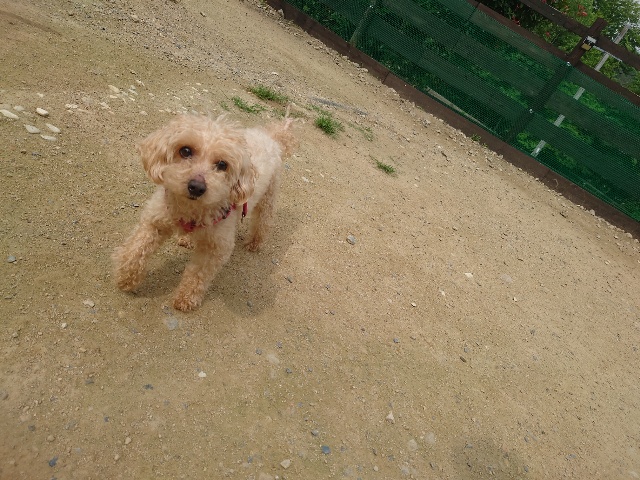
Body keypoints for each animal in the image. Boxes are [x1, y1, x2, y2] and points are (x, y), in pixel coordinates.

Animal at [112, 113, 294, 311]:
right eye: (185, 151)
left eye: (222, 164)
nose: (197, 187)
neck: (190, 209)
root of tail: (271, 137)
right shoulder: (155, 221)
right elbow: (136, 250)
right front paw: (125, 277)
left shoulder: (216, 248)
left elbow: (198, 274)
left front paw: (185, 298)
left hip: (268, 196)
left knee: (263, 220)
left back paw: (254, 242)